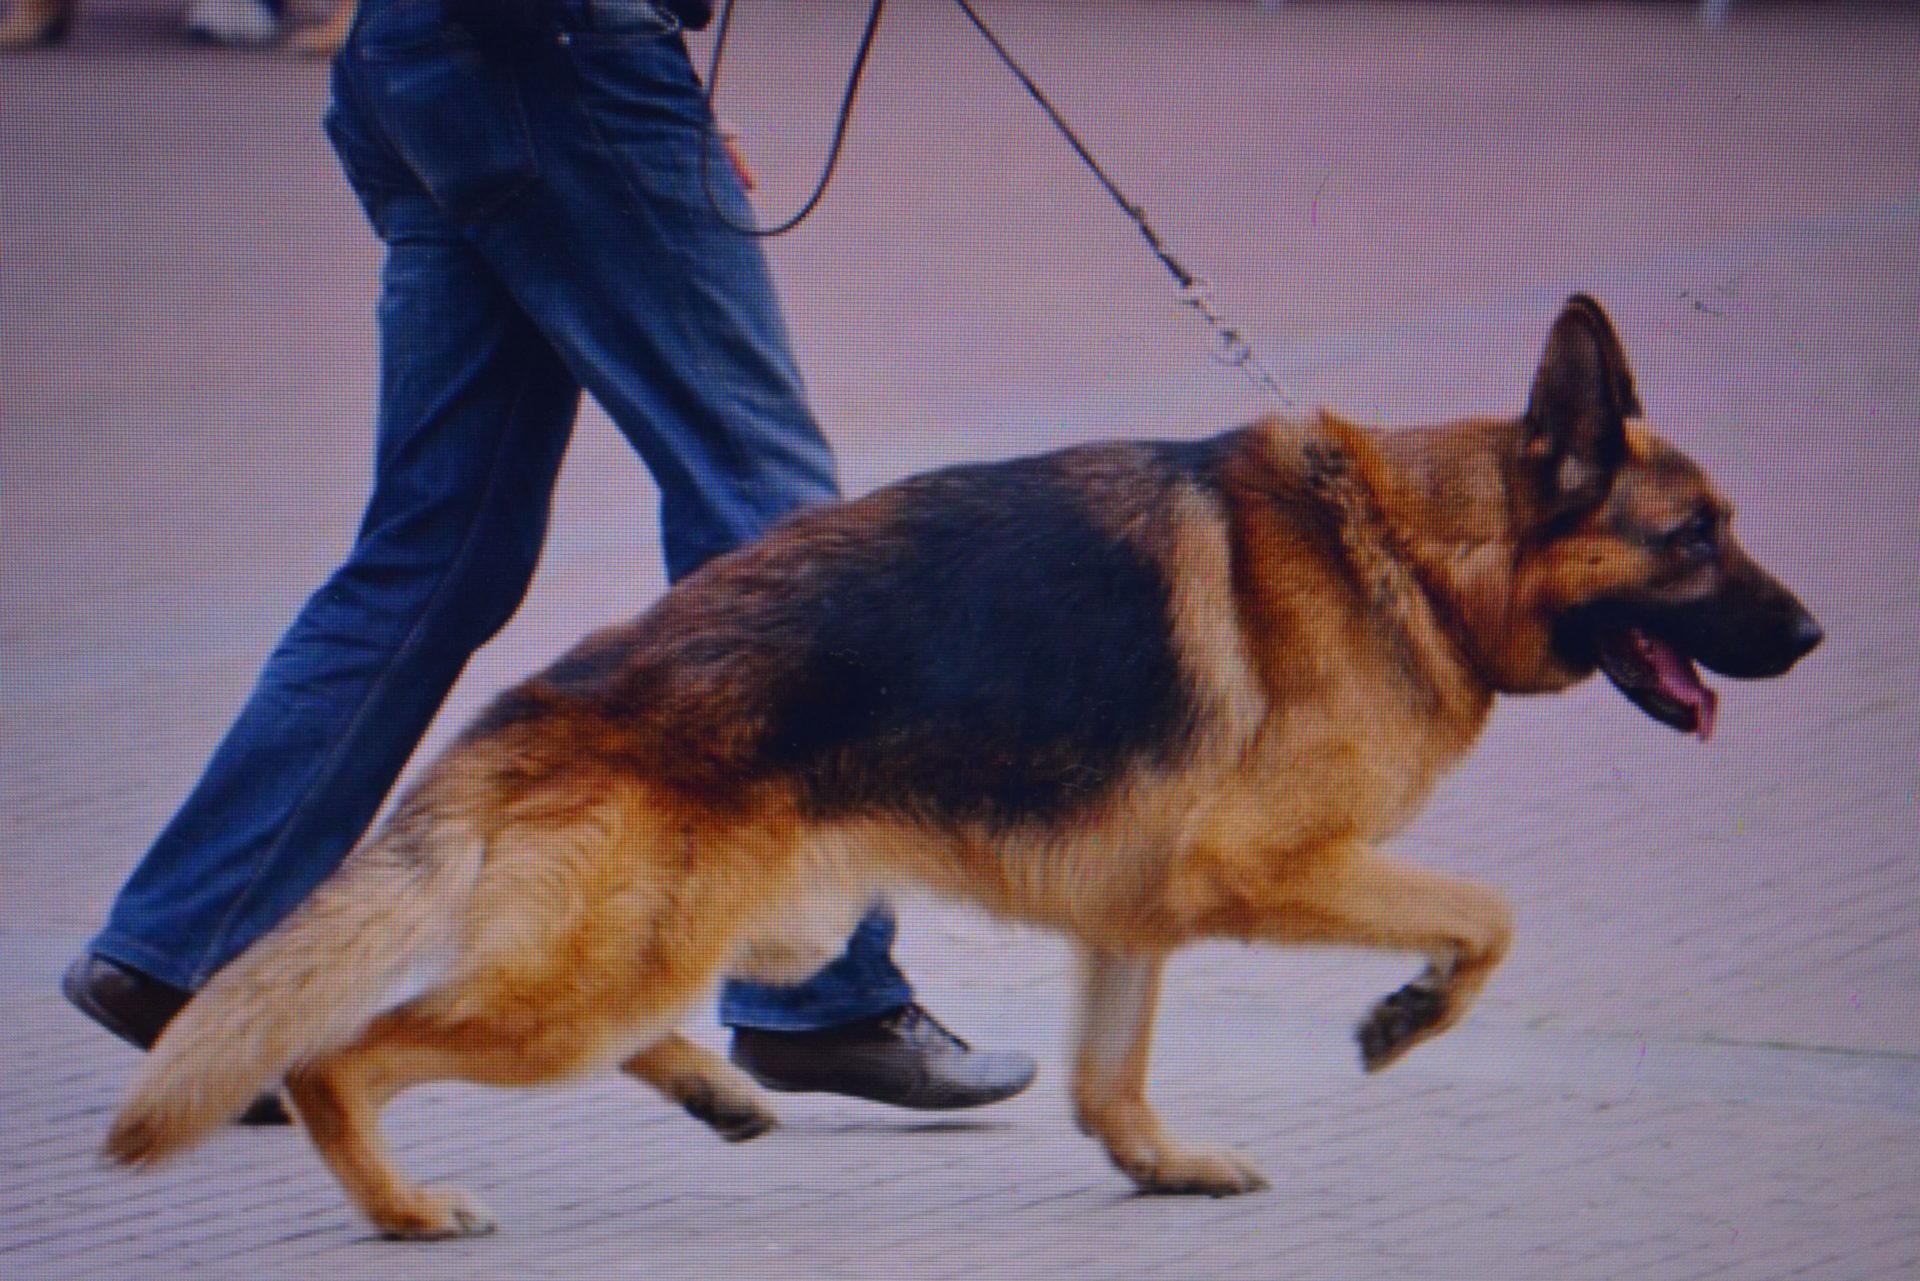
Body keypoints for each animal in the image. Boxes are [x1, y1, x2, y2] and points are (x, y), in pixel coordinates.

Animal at [101, 295, 1812, 1236]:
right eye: (1693, 538)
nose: (1813, 634)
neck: (1408, 544)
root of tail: (542, 692)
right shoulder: (1268, 870)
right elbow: (1492, 914)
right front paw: (1407, 1015)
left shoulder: (1135, 920)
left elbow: (1110, 1083)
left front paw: (1161, 1165)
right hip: (600, 976)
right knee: (340, 1056)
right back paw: (406, 1207)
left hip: (733, 933)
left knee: (625, 1022)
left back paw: (713, 1087)